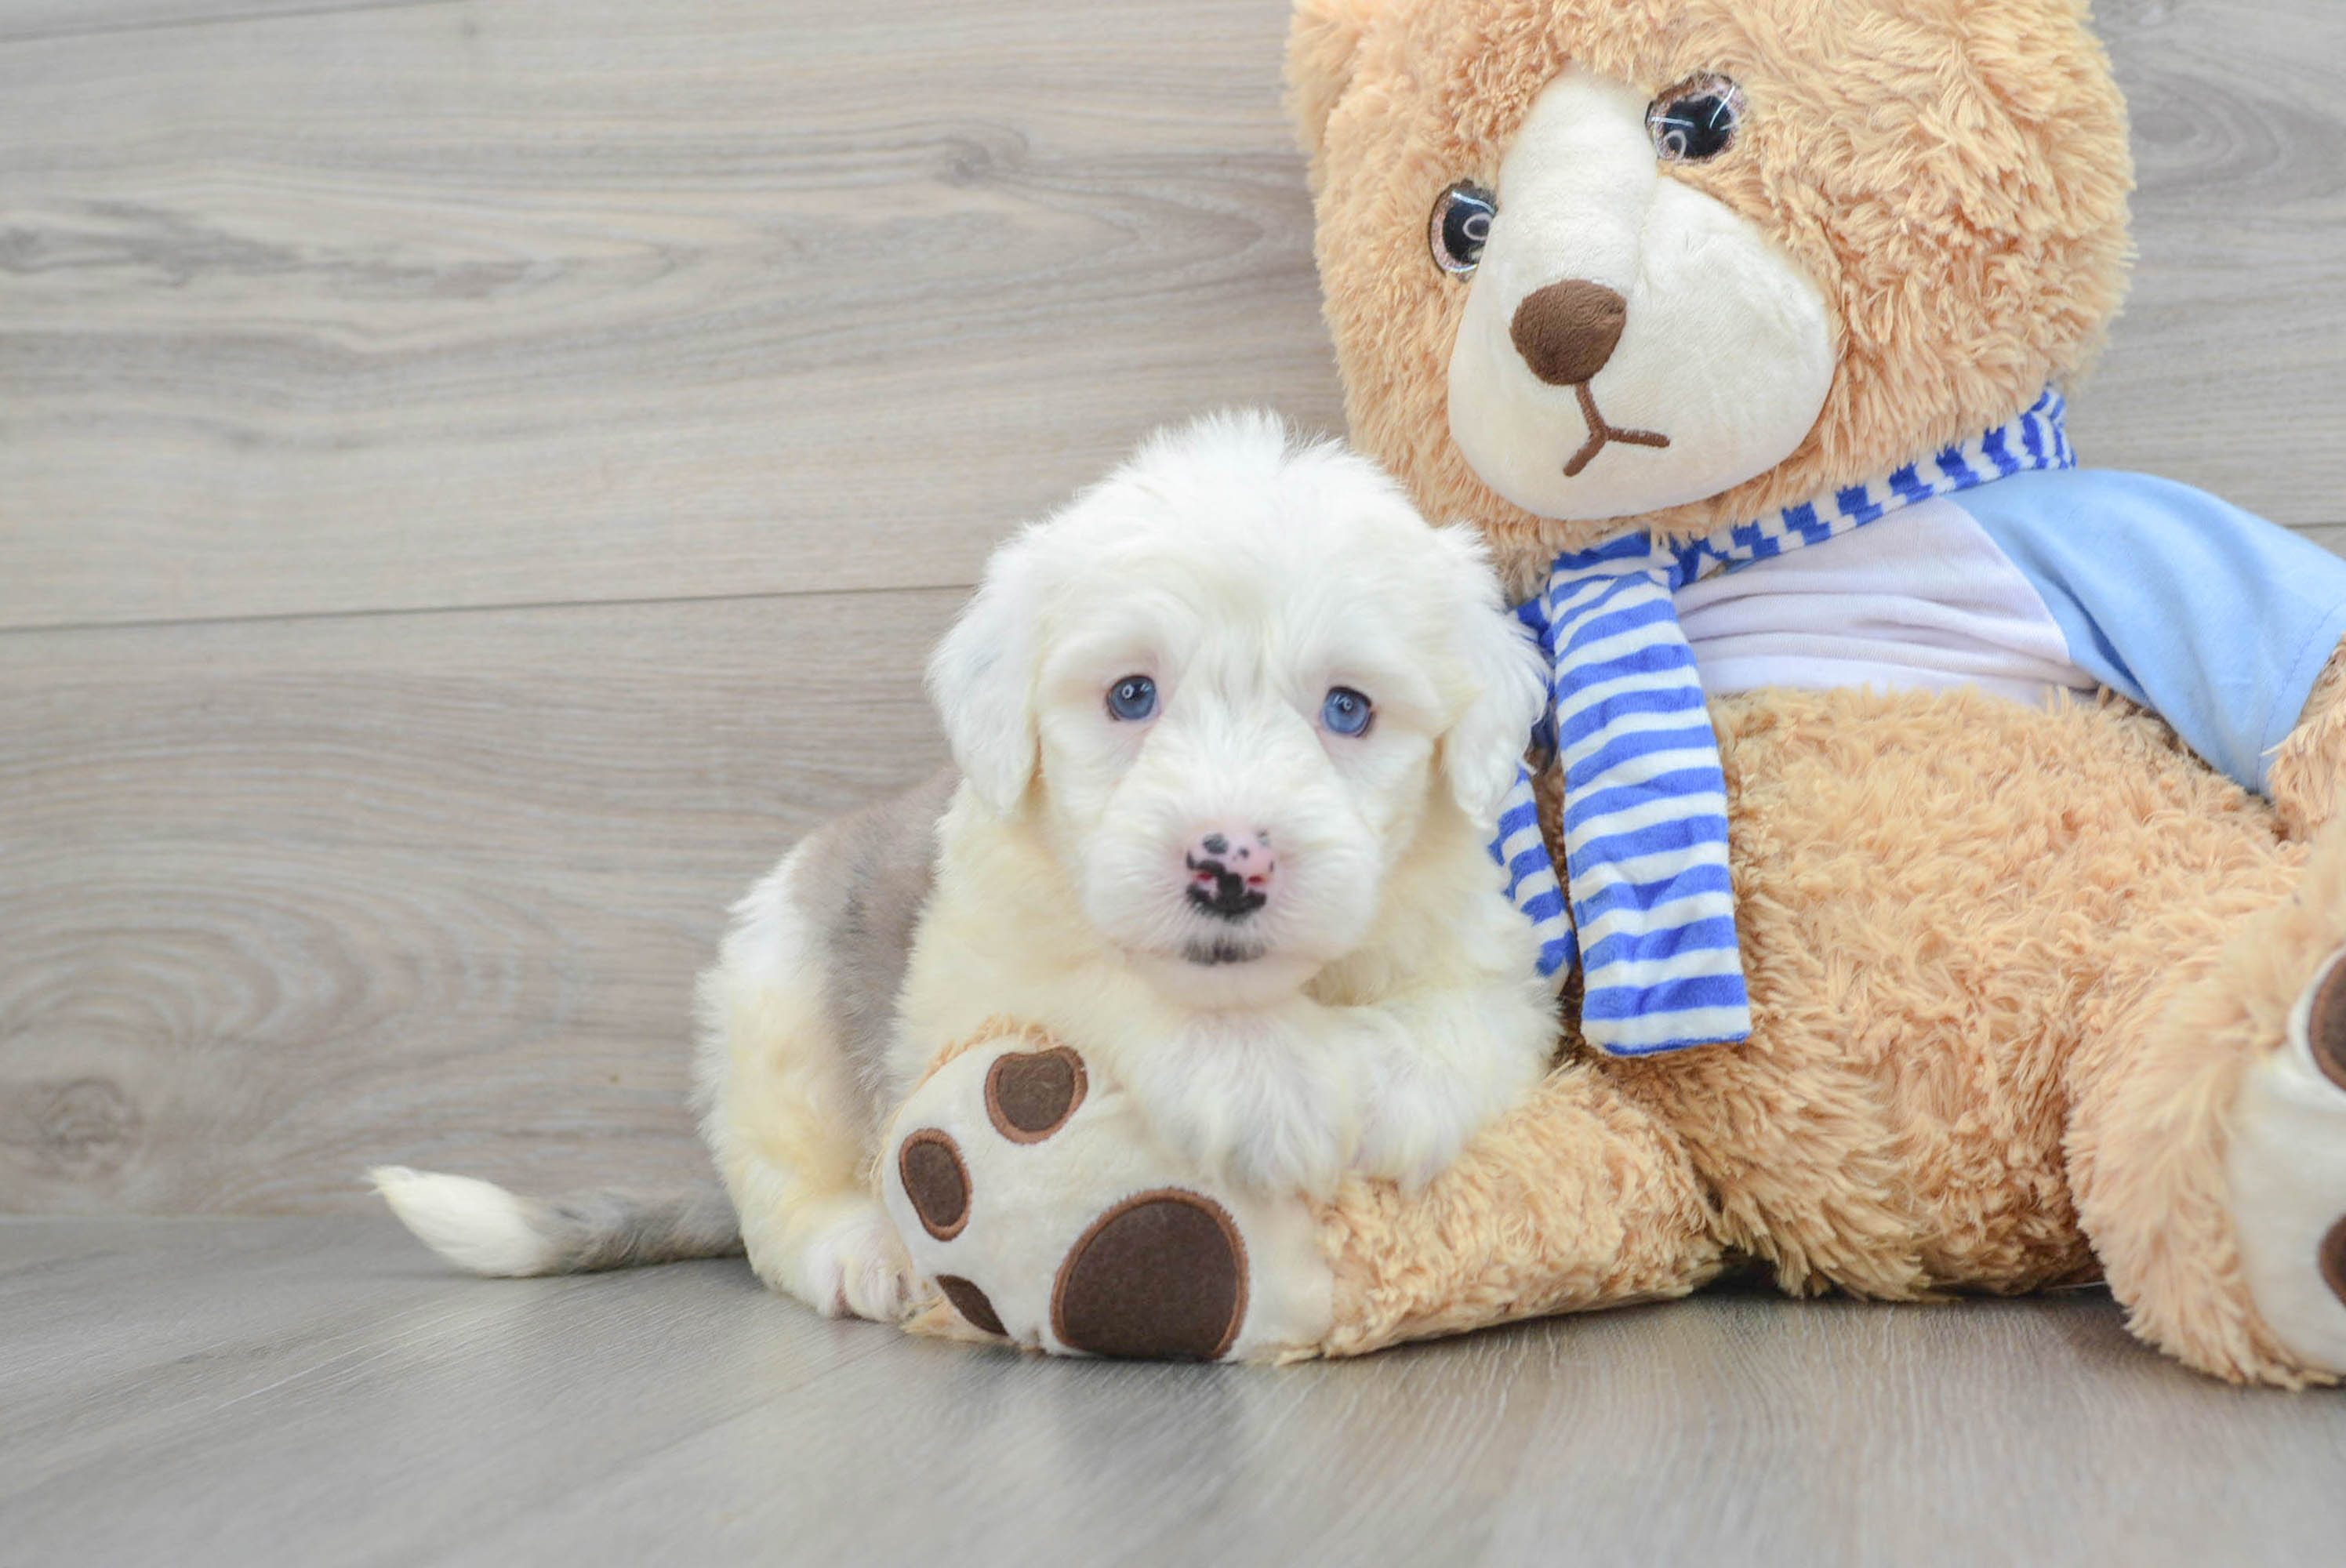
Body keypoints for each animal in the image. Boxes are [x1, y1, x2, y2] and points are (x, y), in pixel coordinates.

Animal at [375, 410, 1567, 1314]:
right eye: (1132, 693)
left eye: (1348, 709)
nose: (1230, 866)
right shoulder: (974, 980)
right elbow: (1096, 979)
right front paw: (1264, 1082)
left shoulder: (1489, 958)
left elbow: (1457, 1028)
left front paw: (1388, 1093)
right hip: (776, 1004)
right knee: (777, 1188)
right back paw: (854, 1250)